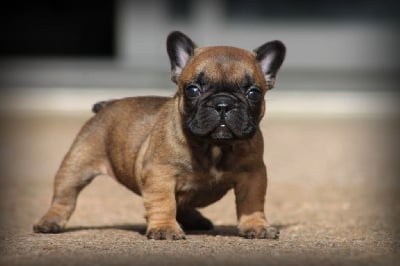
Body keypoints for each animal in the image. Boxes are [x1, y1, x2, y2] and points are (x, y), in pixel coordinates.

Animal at [33, 30, 284, 239]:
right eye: (193, 89)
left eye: (254, 93)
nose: (223, 104)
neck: (213, 147)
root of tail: (106, 105)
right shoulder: (160, 174)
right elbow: (164, 202)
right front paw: (164, 228)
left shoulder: (253, 174)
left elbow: (252, 202)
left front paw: (256, 226)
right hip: (77, 165)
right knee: (65, 196)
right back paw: (50, 221)